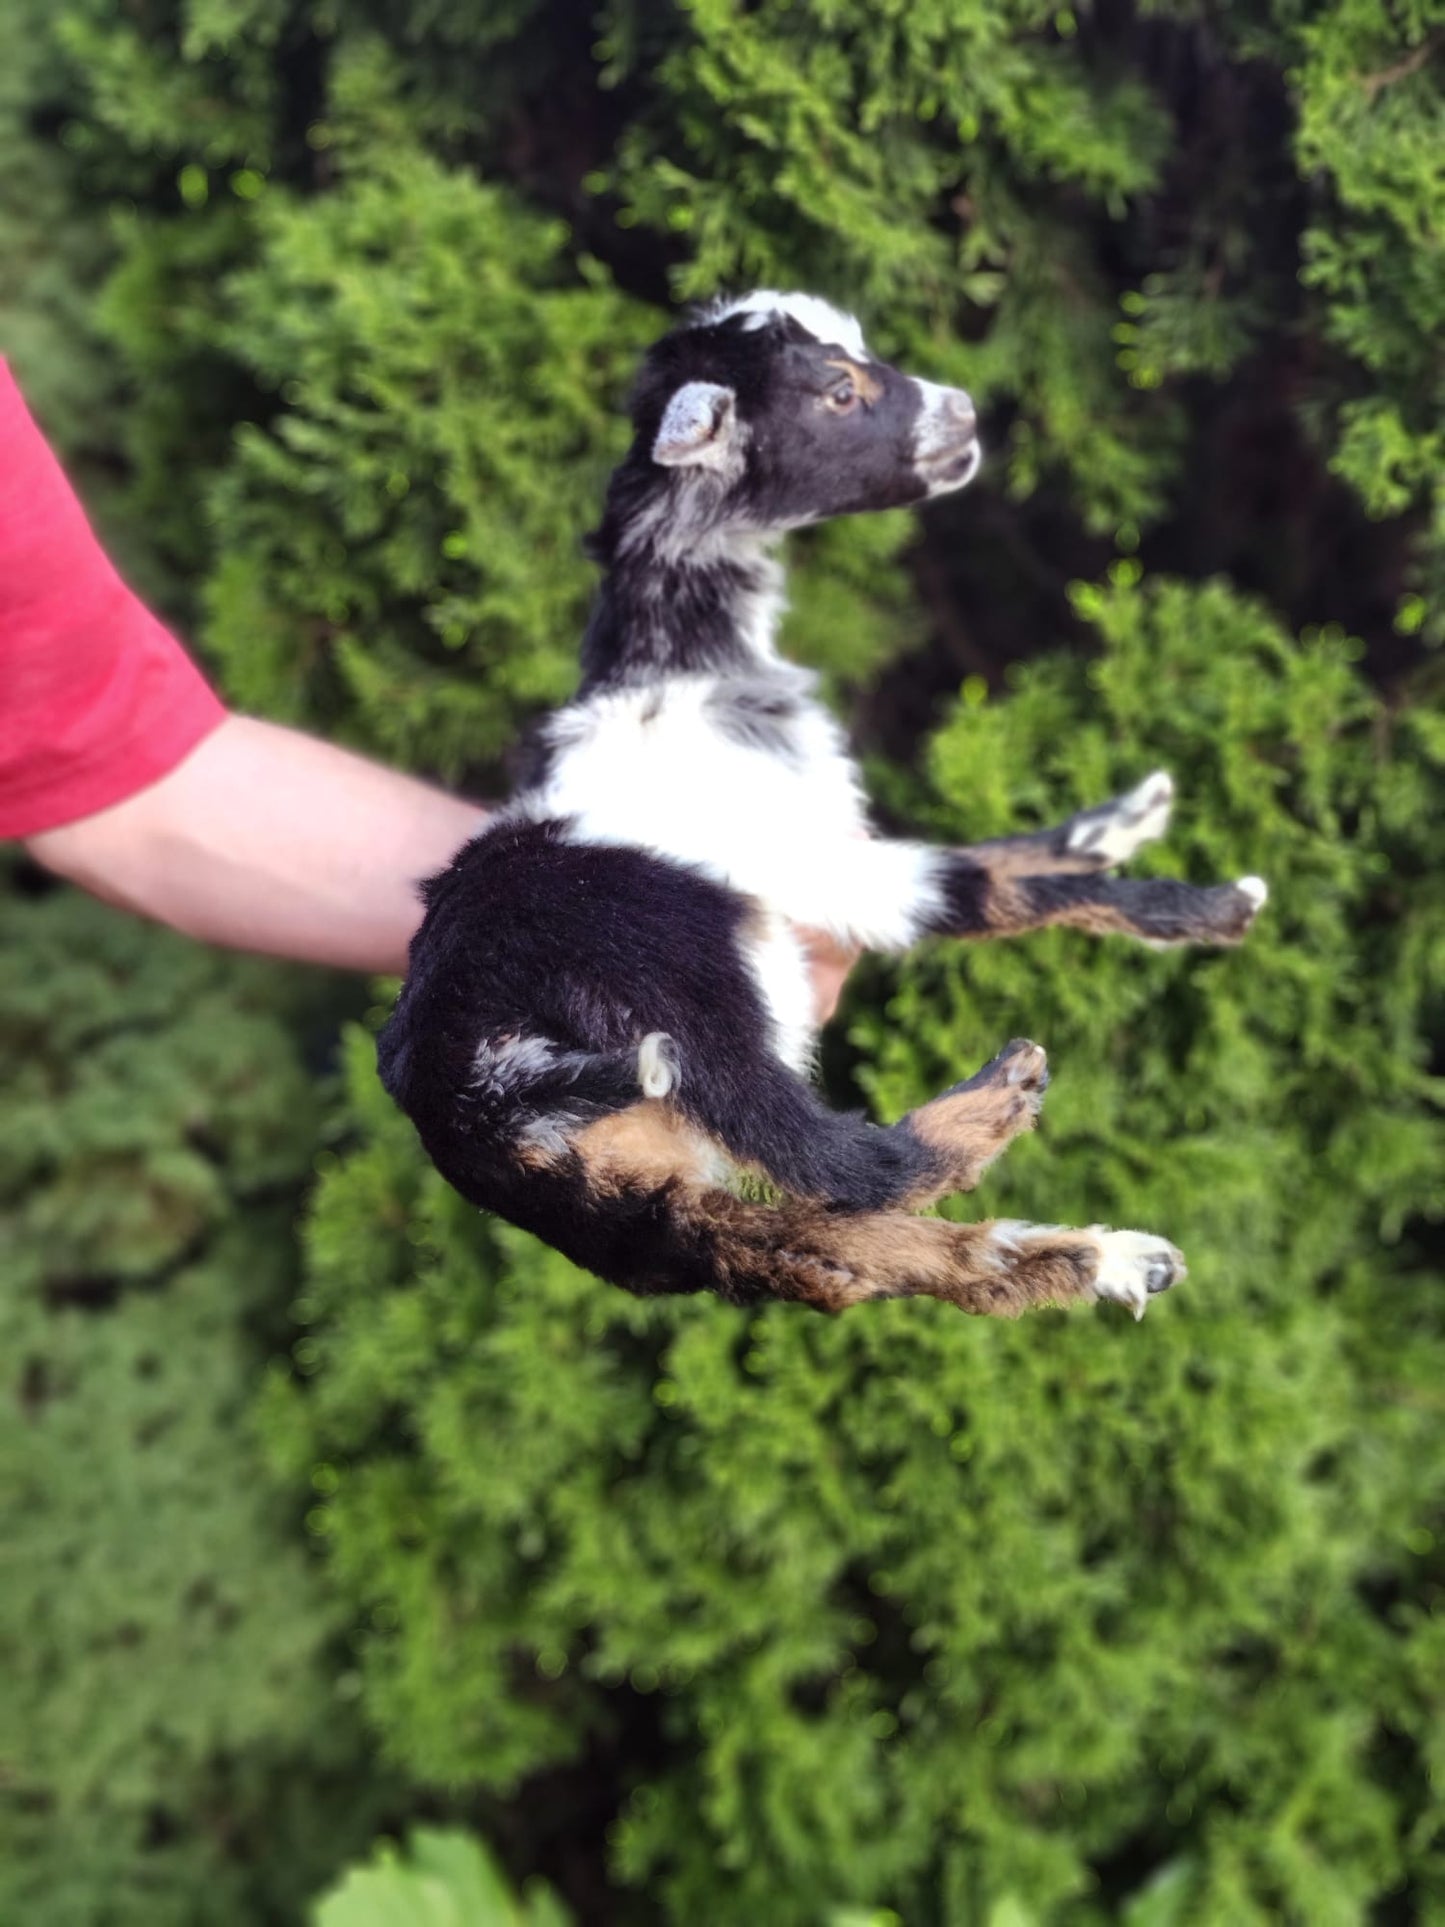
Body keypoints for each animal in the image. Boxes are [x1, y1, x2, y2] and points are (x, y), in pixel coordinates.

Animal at [379, 291, 1267, 1321]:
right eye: (837, 393)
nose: (963, 413)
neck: (684, 667)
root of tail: (472, 1088)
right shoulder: (820, 862)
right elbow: (983, 888)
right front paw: (1212, 907)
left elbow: (1006, 856)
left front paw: (1118, 820)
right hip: (687, 996)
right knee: (848, 1164)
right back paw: (1006, 1100)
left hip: (648, 1195)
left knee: (818, 1249)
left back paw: (1105, 1260)